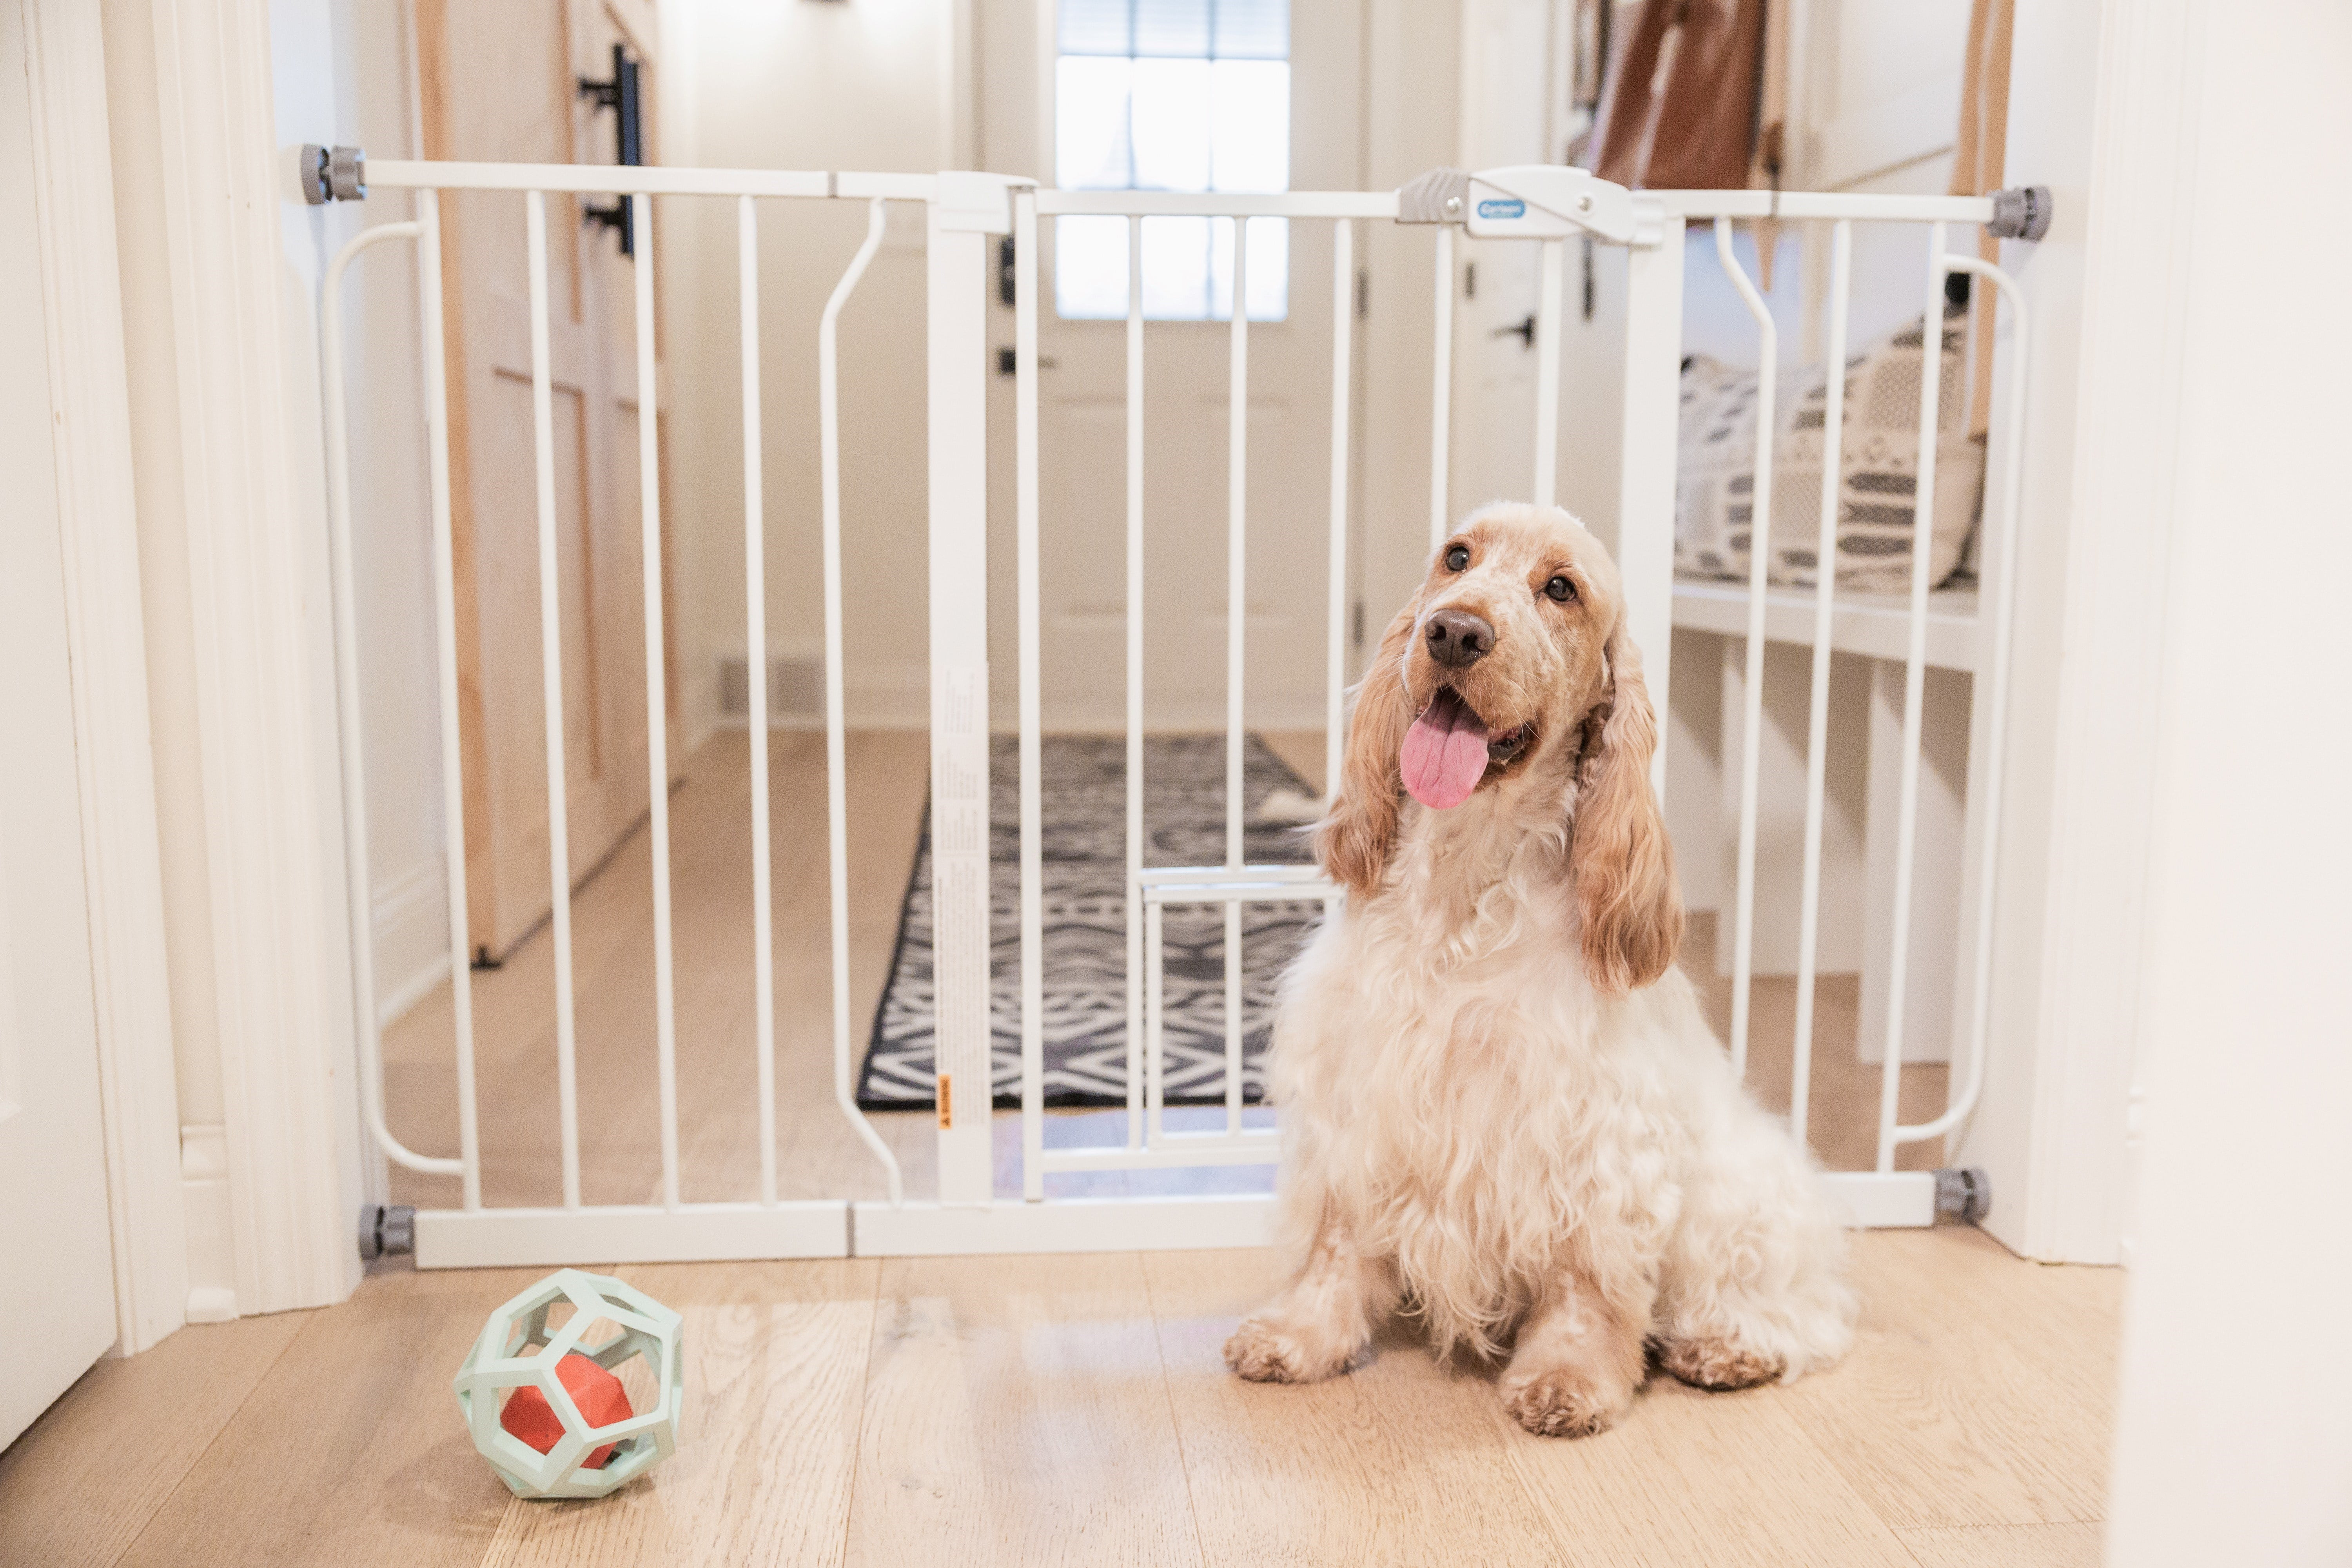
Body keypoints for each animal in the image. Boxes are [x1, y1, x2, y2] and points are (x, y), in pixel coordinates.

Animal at [1232, 501, 1853, 1439]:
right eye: (1456, 558)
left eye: (1562, 588)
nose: (1453, 631)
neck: (1467, 881)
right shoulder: (1355, 1100)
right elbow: (1336, 1241)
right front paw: (1299, 1335)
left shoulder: (1593, 1136)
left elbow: (1585, 1281)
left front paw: (1568, 1378)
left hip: (1742, 1191)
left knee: (1796, 1302)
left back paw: (1728, 1346)